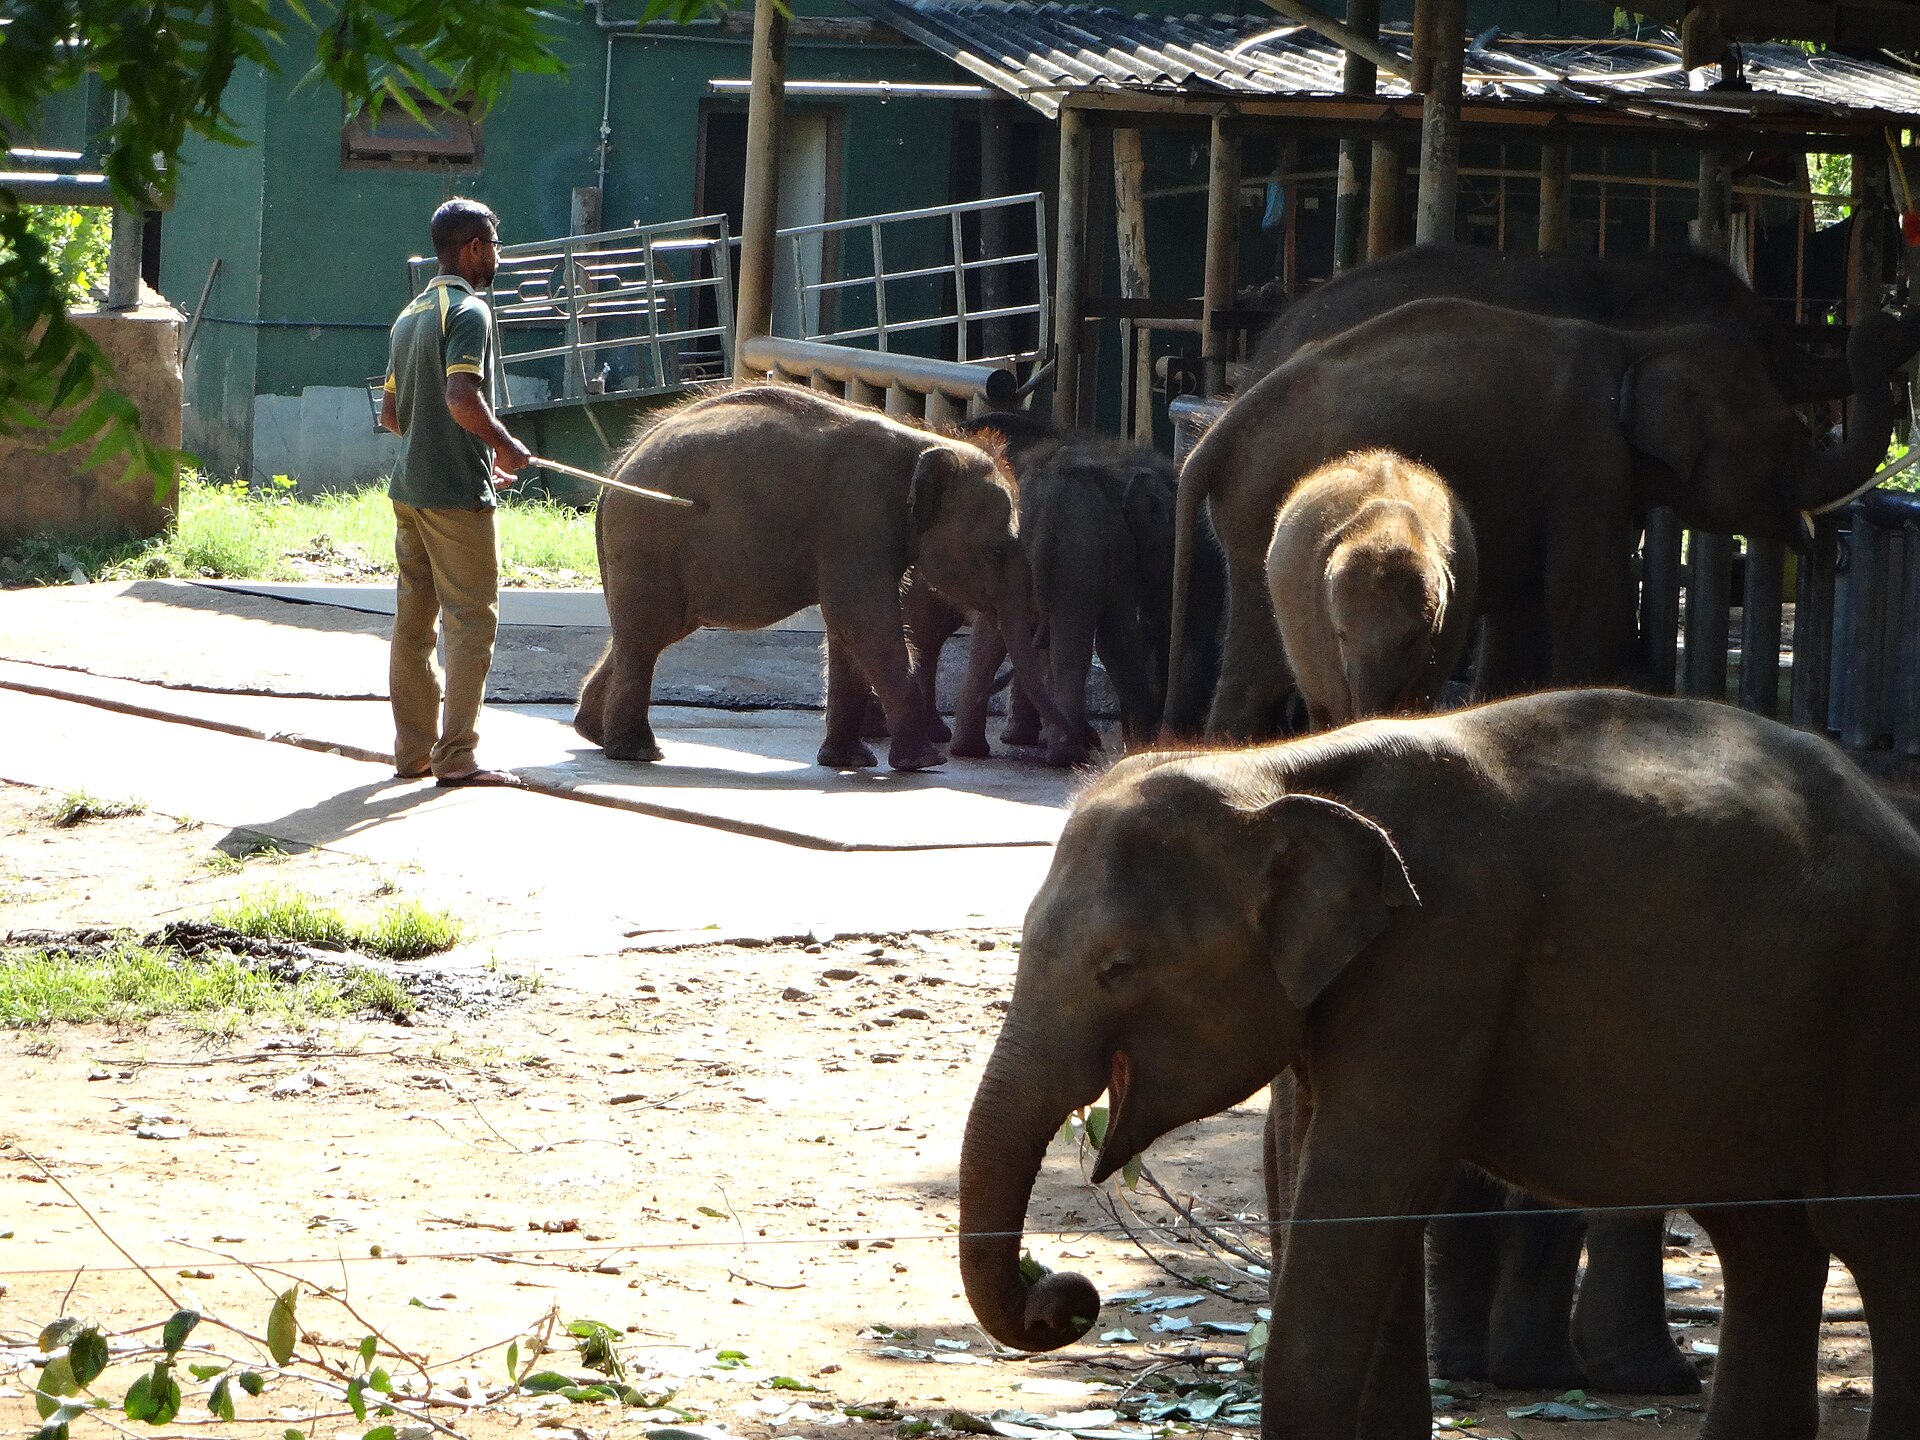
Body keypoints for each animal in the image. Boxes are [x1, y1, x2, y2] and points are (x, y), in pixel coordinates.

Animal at [573, 383, 1073, 771]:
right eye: (995, 550)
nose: (1076, 747)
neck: (924, 443)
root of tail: (614, 473)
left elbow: (847, 629)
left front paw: (849, 763)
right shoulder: (856, 519)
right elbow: (863, 622)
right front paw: (924, 764)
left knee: (645, 634)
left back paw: (593, 733)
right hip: (648, 541)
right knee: (647, 636)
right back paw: (638, 753)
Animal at [959, 688, 1920, 1440]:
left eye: (1118, 968)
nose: (1062, 1294)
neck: (1283, 771)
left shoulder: (1445, 948)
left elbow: (1365, 1191)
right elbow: (1353, 1199)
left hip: (1879, 1015)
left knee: (1874, 1238)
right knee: (1765, 1243)